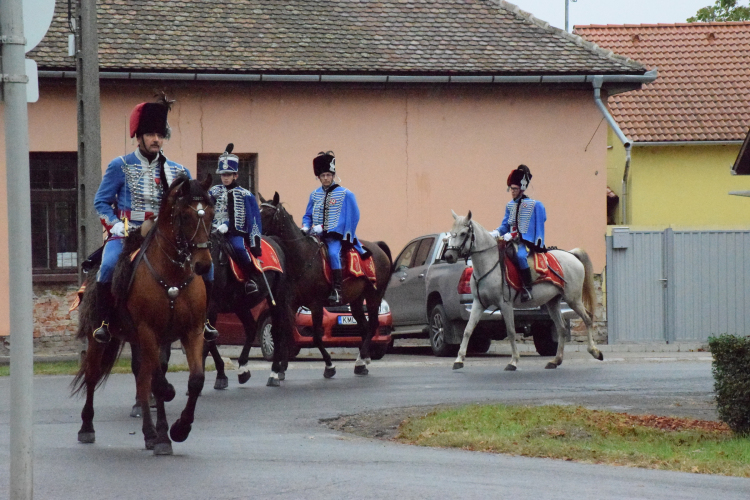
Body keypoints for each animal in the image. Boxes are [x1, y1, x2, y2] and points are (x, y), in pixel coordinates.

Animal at [72, 174, 214, 456]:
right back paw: (87, 427)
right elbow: (158, 384)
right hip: (99, 339)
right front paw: (166, 431)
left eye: (212, 214)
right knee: (93, 375)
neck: (172, 277)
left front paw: (179, 429)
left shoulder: (191, 332)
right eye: (184, 216)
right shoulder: (149, 332)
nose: (203, 264)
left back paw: (151, 434)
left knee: (142, 376)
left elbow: (195, 380)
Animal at [258, 192, 394, 378]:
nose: (255, 237)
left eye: (267, 214)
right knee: (365, 327)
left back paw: (360, 362)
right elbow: (287, 332)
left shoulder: (315, 305)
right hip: (356, 300)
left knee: (373, 325)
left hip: (374, 295)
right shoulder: (290, 304)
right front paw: (282, 368)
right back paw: (362, 361)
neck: (301, 257)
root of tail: (377, 246)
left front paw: (329, 366)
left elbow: (316, 337)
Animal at [446, 211, 604, 372]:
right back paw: (555, 360)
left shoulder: (505, 304)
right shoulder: (479, 303)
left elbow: (511, 331)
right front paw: (459, 360)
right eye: (451, 232)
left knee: (587, 319)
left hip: (573, 299)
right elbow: (468, 330)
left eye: (463, 233)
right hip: (553, 302)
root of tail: (571, 254)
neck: (489, 264)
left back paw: (595, 352)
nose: (448, 256)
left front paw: (513, 361)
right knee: (561, 328)